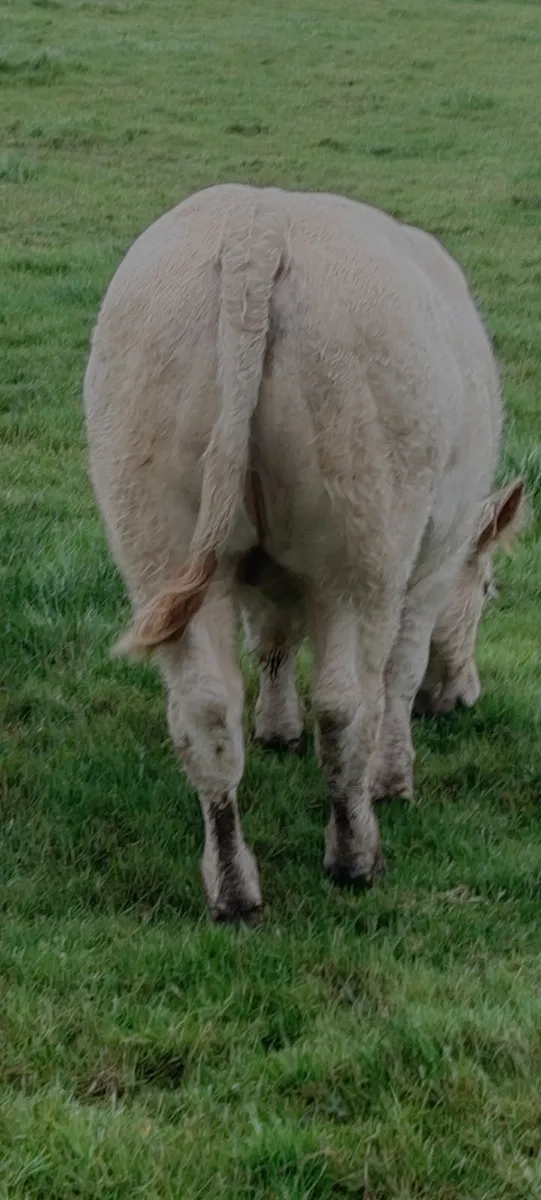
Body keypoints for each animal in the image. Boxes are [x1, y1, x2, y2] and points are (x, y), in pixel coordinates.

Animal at [83, 184, 524, 923]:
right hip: (362, 543)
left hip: (156, 537)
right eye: (489, 591)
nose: (465, 698)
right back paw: (354, 855)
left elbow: (272, 641)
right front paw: (394, 778)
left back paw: (232, 886)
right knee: (346, 705)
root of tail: (256, 221)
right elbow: (399, 673)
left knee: (204, 709)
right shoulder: (431, 569)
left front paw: (276, 728)